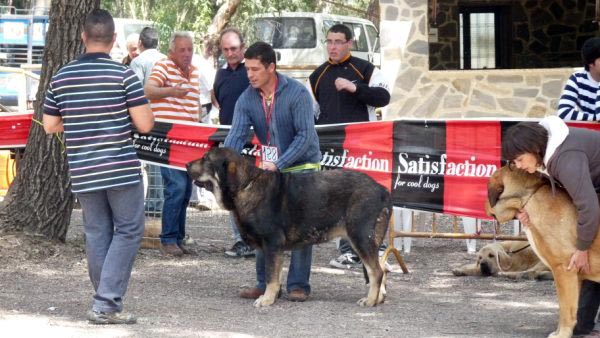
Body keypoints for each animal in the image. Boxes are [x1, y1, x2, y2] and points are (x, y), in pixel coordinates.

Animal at [189, 147, 394, 308]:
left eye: (206, 158)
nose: (187, 165)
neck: (246, 186)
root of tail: (382, 190)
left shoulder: (272, 244)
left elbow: (271, 275)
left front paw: (266, 300)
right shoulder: (273, 248)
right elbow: (275, 274)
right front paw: (272, 296)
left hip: (360, 237)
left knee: (376, 272)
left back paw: (370, 301)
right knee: (379, 271)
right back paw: (378, 299)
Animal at [488, 166, 600, 338]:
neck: (530, 196)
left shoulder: (564, 270)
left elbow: (566, 310)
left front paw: (562, 334)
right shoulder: (574, 276)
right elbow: (569, 308)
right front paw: (559, 331)